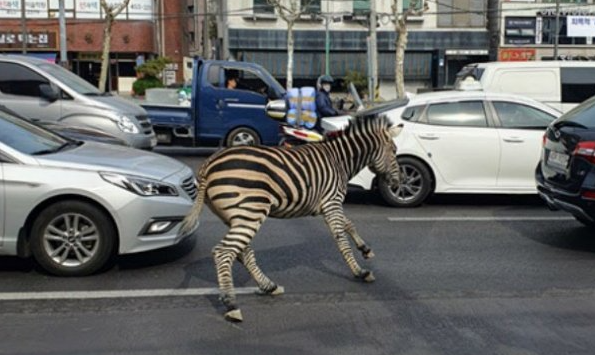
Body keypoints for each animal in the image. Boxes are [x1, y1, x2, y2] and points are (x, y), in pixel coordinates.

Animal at [180, 115, 406, 324]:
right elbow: (340, 238)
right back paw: (231, 305)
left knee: (243, 252)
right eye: (395, 151)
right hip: (250, 211)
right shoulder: (332, 202)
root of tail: (208, 165)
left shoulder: (328, 204)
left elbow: (349, 224)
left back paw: (268, 286)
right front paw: (360, 272)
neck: (339, 161)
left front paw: (365, 250)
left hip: (236, 215)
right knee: (224, 252)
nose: (399, 183)